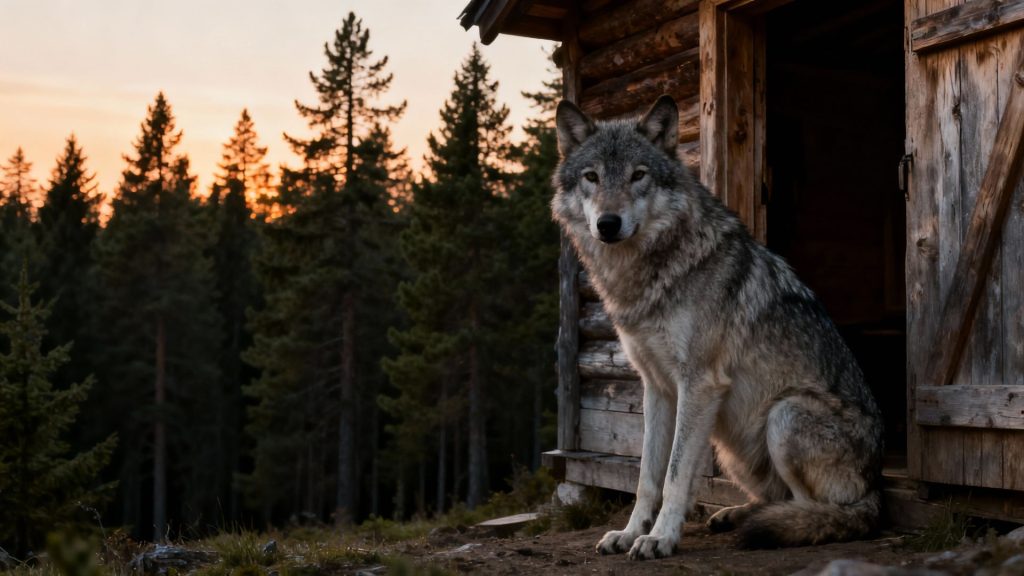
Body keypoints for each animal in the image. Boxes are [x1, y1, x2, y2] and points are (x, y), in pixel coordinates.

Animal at [552, 95, 884, 560]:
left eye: (638, 175)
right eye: (592, 177)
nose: (608, 223)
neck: (650, 276)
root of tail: (876, 490)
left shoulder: (699, 384)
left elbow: (674, 477)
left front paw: (660, 538)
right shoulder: (655, 387)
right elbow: (646, 476)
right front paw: (630, 532)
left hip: (783, 414)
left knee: (817, 509)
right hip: (733, 447)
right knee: (778, 497)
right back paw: (736, 515)